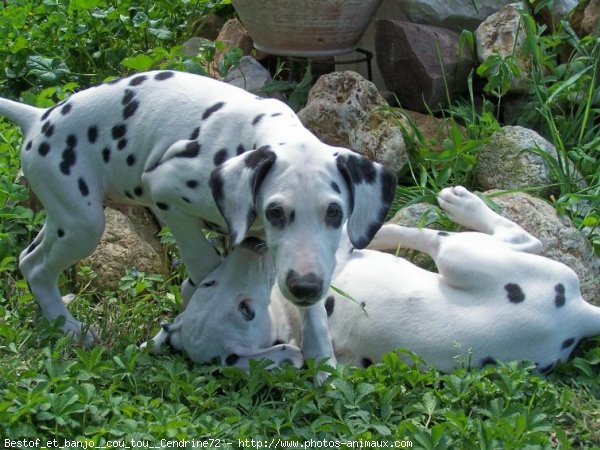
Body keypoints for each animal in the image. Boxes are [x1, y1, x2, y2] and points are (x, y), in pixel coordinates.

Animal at [1, 70, 398, 360]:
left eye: (334, 212)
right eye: (275, 212)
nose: (304, 286)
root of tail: (39, 118)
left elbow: (313, 311)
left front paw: (322, 362)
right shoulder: (166, 191)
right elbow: (203, 259)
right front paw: (201, 292)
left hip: (63, 220)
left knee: (29, 257)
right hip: (84, 223)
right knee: (37, 268)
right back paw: (70, 328)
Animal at [145, 186, 600, 372]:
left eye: (208, 285)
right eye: (246, 310)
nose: (252, 247)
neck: (286, 316)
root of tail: (581, 315)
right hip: (464, 257)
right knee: (520, 239)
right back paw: (460, 205)